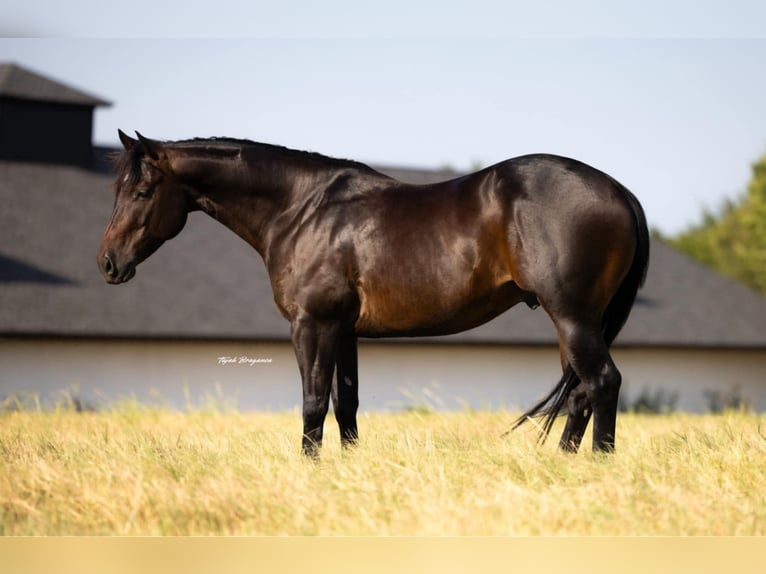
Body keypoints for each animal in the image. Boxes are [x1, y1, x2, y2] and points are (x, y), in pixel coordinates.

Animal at [98, 131, 649, 456]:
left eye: (142, 192)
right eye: (117, 191)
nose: (107, 263)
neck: (303, 209)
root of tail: (620, 190)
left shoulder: (312, 325)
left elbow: (313, 403)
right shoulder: (345, 332)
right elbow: (347, 405)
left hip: (572, 317)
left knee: (602, 383)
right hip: (573, 322)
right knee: (580, 391)